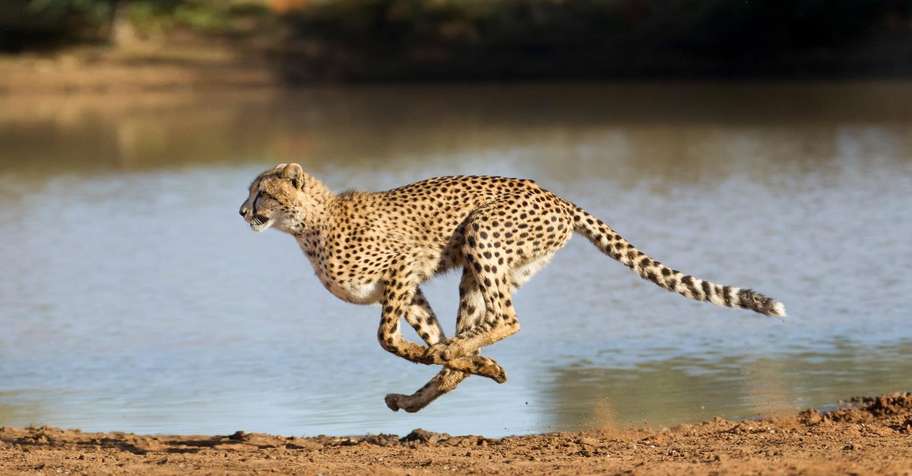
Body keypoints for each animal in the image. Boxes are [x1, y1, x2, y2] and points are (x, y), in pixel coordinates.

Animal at [239, 163, 786, 413]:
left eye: (262, 192)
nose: (243, 211)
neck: (308, 225)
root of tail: (555, 195)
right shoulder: (409, 286)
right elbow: (426, 337)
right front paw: (465, 363)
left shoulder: (404, 267)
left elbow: (388, 338)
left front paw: (439, 355)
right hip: (484, 269)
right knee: (484, 325)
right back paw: (439, 382)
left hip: (482, 233)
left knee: (508, 318)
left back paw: (457, 357)